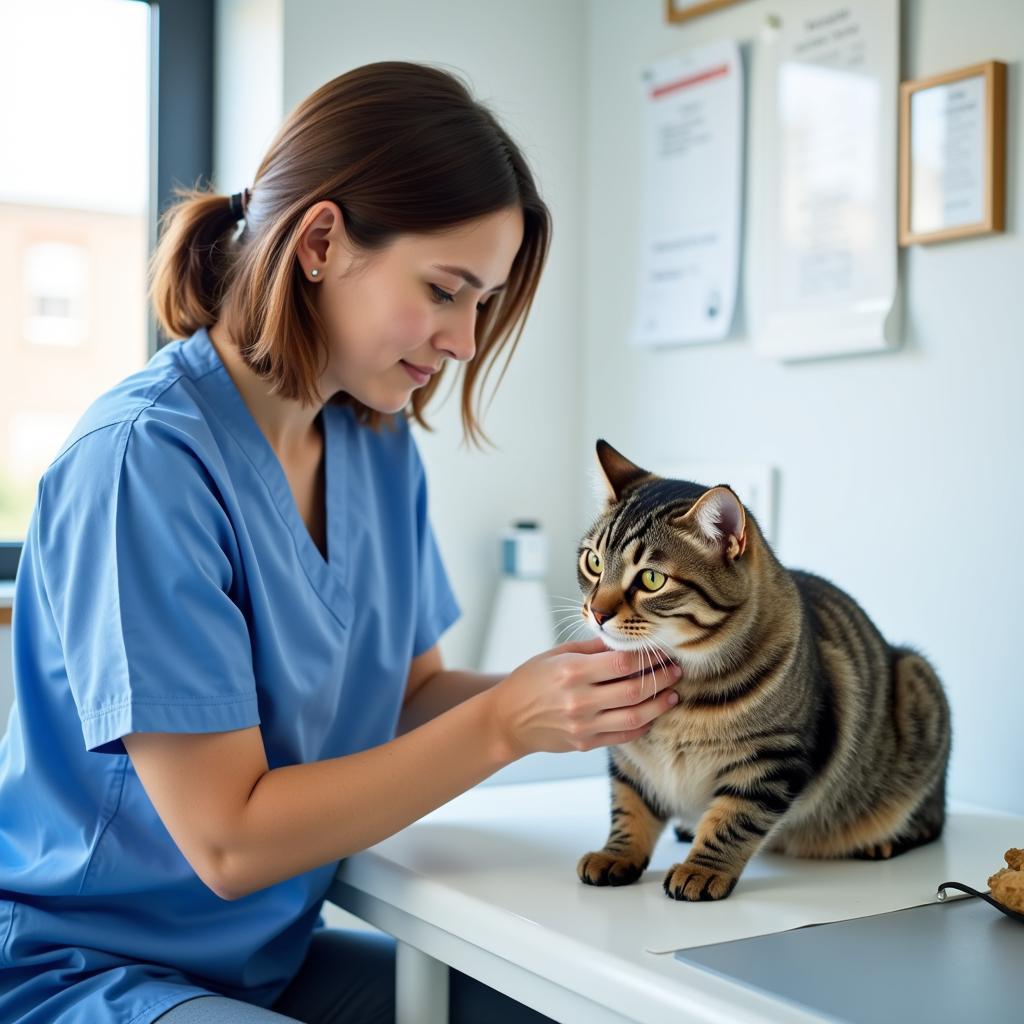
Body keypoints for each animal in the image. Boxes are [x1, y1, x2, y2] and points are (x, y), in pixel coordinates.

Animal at [577, 436, 950, 901]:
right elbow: (629, 810)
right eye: (593, 562)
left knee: (931, 820)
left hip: (919, 683)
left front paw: (702, 869)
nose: (596, 612)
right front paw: (617, 855)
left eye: (650, 579)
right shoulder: (630, 758)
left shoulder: (771, 760)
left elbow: (733, 821)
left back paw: (881, 840)